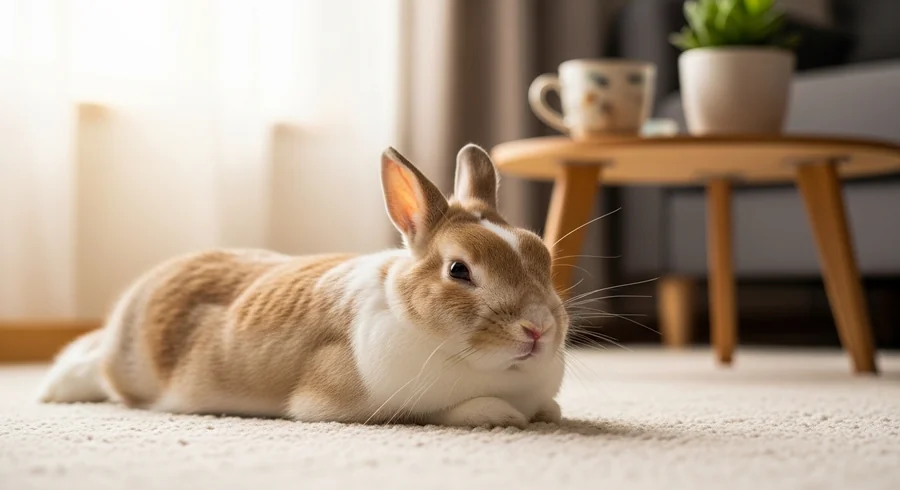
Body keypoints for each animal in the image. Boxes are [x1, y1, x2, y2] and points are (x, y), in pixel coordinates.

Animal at [35, 143, 568, 428]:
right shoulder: (370, 406)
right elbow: (442, 410)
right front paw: (499, 414)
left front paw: (549, 410)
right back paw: (54, 391)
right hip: (130, 372)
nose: (538, 328)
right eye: (459, 270)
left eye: (540, 255)